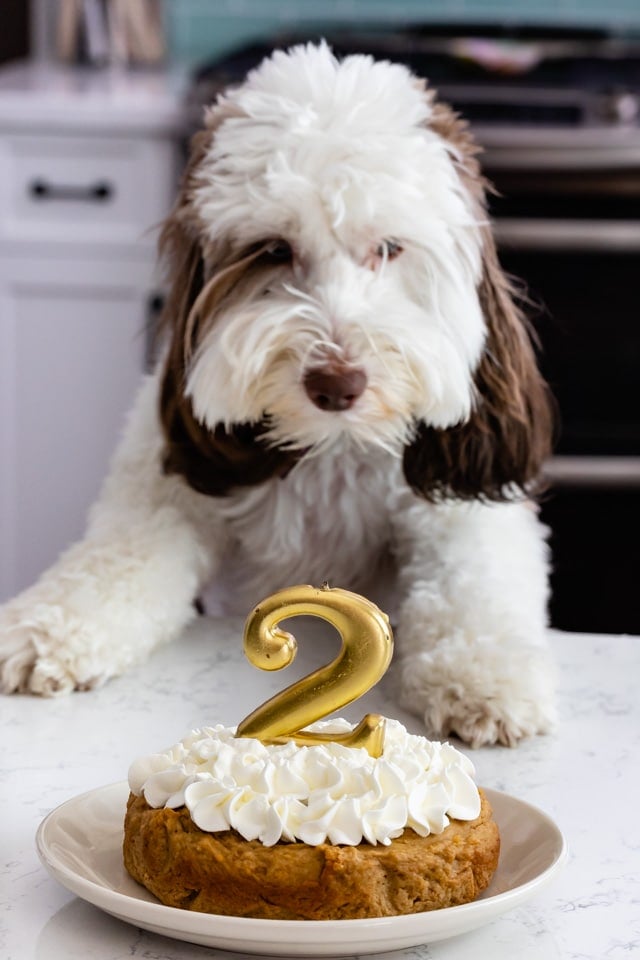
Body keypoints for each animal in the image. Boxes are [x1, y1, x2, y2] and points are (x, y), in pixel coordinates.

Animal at [0, 45, 556, 748]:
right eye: (272, 250)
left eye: (389, 248)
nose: (336, 383)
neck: (328, 447)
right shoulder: (160, 498)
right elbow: (112, 563)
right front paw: (42, 631)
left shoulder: (456, 509)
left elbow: (475, 585)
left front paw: (487, 679)